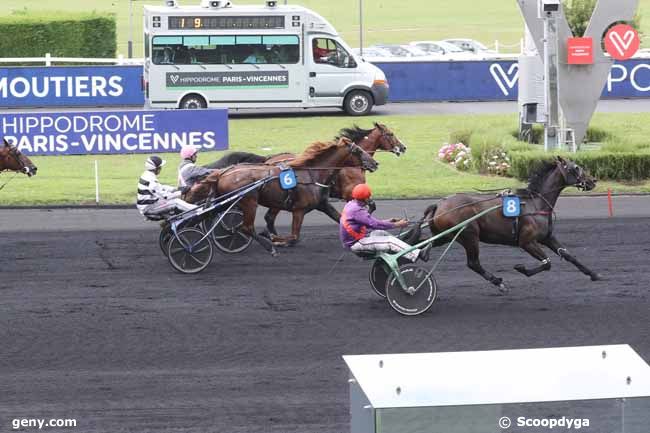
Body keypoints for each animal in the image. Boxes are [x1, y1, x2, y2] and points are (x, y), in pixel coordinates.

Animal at [185, 138, 378, 253]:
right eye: (358, 151)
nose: (375, 163)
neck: (312, 174)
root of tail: (223, 173)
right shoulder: (299, 210)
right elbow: (294, 236)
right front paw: (274, 239)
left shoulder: (322, 204)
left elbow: (341, 219)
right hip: (249, 201)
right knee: (246, 227)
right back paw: (268, 246)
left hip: (231, 201)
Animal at [420, 157, 596, 292]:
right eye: (576, 167)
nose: (593, 181)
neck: (535, 204)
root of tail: (439, 204)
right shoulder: (527, 242)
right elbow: (547, 263)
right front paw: (521, 268)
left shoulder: (547, 237)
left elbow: (568, 255)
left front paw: (594, 274)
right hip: (469, 236)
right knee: (473, 263)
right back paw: (498, 282)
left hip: (446, 236)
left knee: (426, 246)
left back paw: (422, 254)